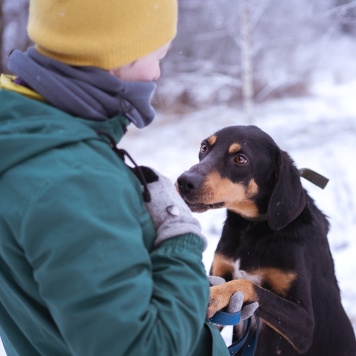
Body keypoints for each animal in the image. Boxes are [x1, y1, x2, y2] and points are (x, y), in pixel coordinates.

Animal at [176, 126, 356, 356]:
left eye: (240, 159)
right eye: (204, 148)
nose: (184, 181)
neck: (251, 228)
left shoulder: (306, 325)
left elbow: (248, 285)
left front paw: (215, 295)